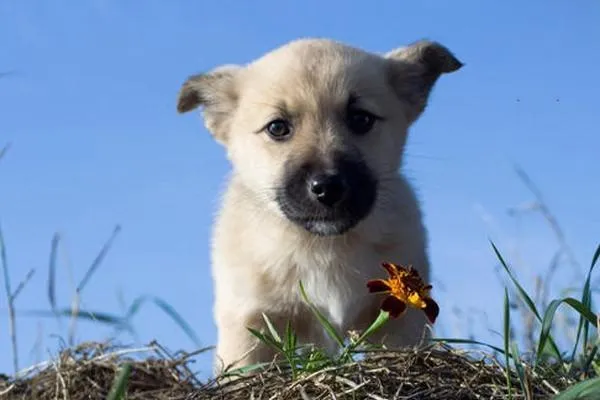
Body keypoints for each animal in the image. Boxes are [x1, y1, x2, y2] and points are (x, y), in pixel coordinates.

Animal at [176, 37, 462, 376]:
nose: (328, 187)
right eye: (277, 128)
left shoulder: (400, 321)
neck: (324, 247)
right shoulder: (249, 323)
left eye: (361, 119)